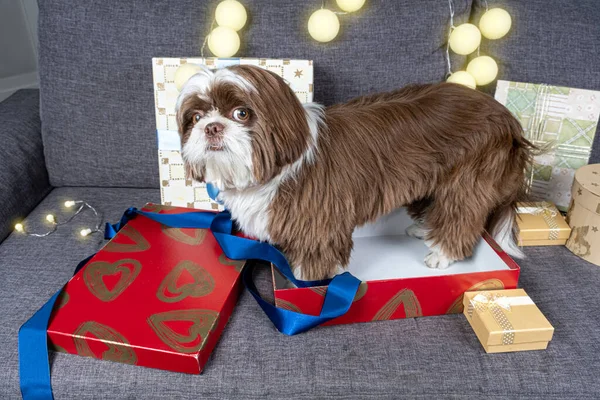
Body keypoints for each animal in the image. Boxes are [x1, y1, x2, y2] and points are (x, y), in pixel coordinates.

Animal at [176, 64, 532, 280]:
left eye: (241, 113)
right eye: (195, 118)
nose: (211, 127)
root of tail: (507, 117)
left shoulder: (320, 221)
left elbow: (318, 255)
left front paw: (306, 278)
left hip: (468, 179)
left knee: (463, 216)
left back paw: (442, 253)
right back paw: (424, 229)